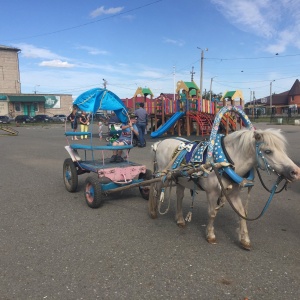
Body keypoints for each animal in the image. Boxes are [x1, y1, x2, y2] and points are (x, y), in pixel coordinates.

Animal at [148, 129, 300, 248]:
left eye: (283, 150)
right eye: (268, 151)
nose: (296, 172)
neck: (223, 163)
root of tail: (160, 143)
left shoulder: (233, 194)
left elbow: (241, 213)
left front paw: (245, 239)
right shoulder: (212, 193)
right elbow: (212, 213)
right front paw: (210, 235)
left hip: (180, 180)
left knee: (179, 196)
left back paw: (180, 220)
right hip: (162, 176)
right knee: (155, 189)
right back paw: (154, 211)